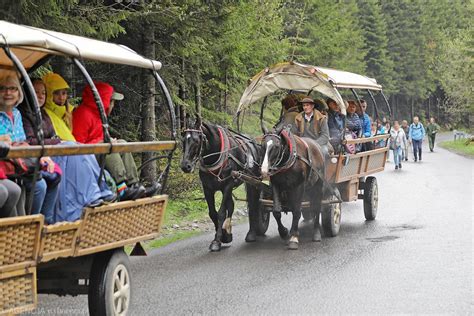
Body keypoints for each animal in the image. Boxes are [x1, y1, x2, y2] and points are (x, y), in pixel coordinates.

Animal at [181, 118, 262, 252]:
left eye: (197, 140)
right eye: (183, 139)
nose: (185, 166)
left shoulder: (227, 185)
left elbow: (221, 213)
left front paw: (217, 241)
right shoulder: (208, 189)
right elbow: (213, 213)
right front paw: (223, 236)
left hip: (253, 180)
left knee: (253, 202)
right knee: (232, 205)